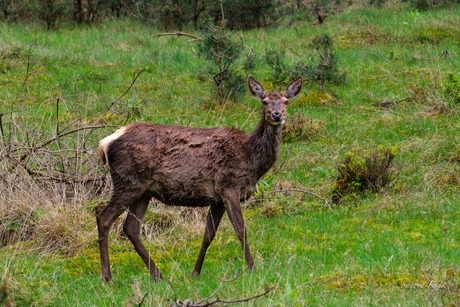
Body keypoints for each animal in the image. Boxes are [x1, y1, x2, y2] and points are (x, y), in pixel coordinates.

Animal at [96, 76, 302, 282]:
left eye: (286, 101)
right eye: (264, 101)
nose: (276, 115)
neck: (251, 159)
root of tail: (105, 142)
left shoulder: (218, 199)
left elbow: (208, 235)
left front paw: (195, 272)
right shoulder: (229, 186)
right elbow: (241, 229)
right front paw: (252, 268)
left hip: (144, 191)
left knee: (131, 228)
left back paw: (158, 276)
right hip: (128, 182)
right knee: (104, 218)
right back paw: (107, 277)